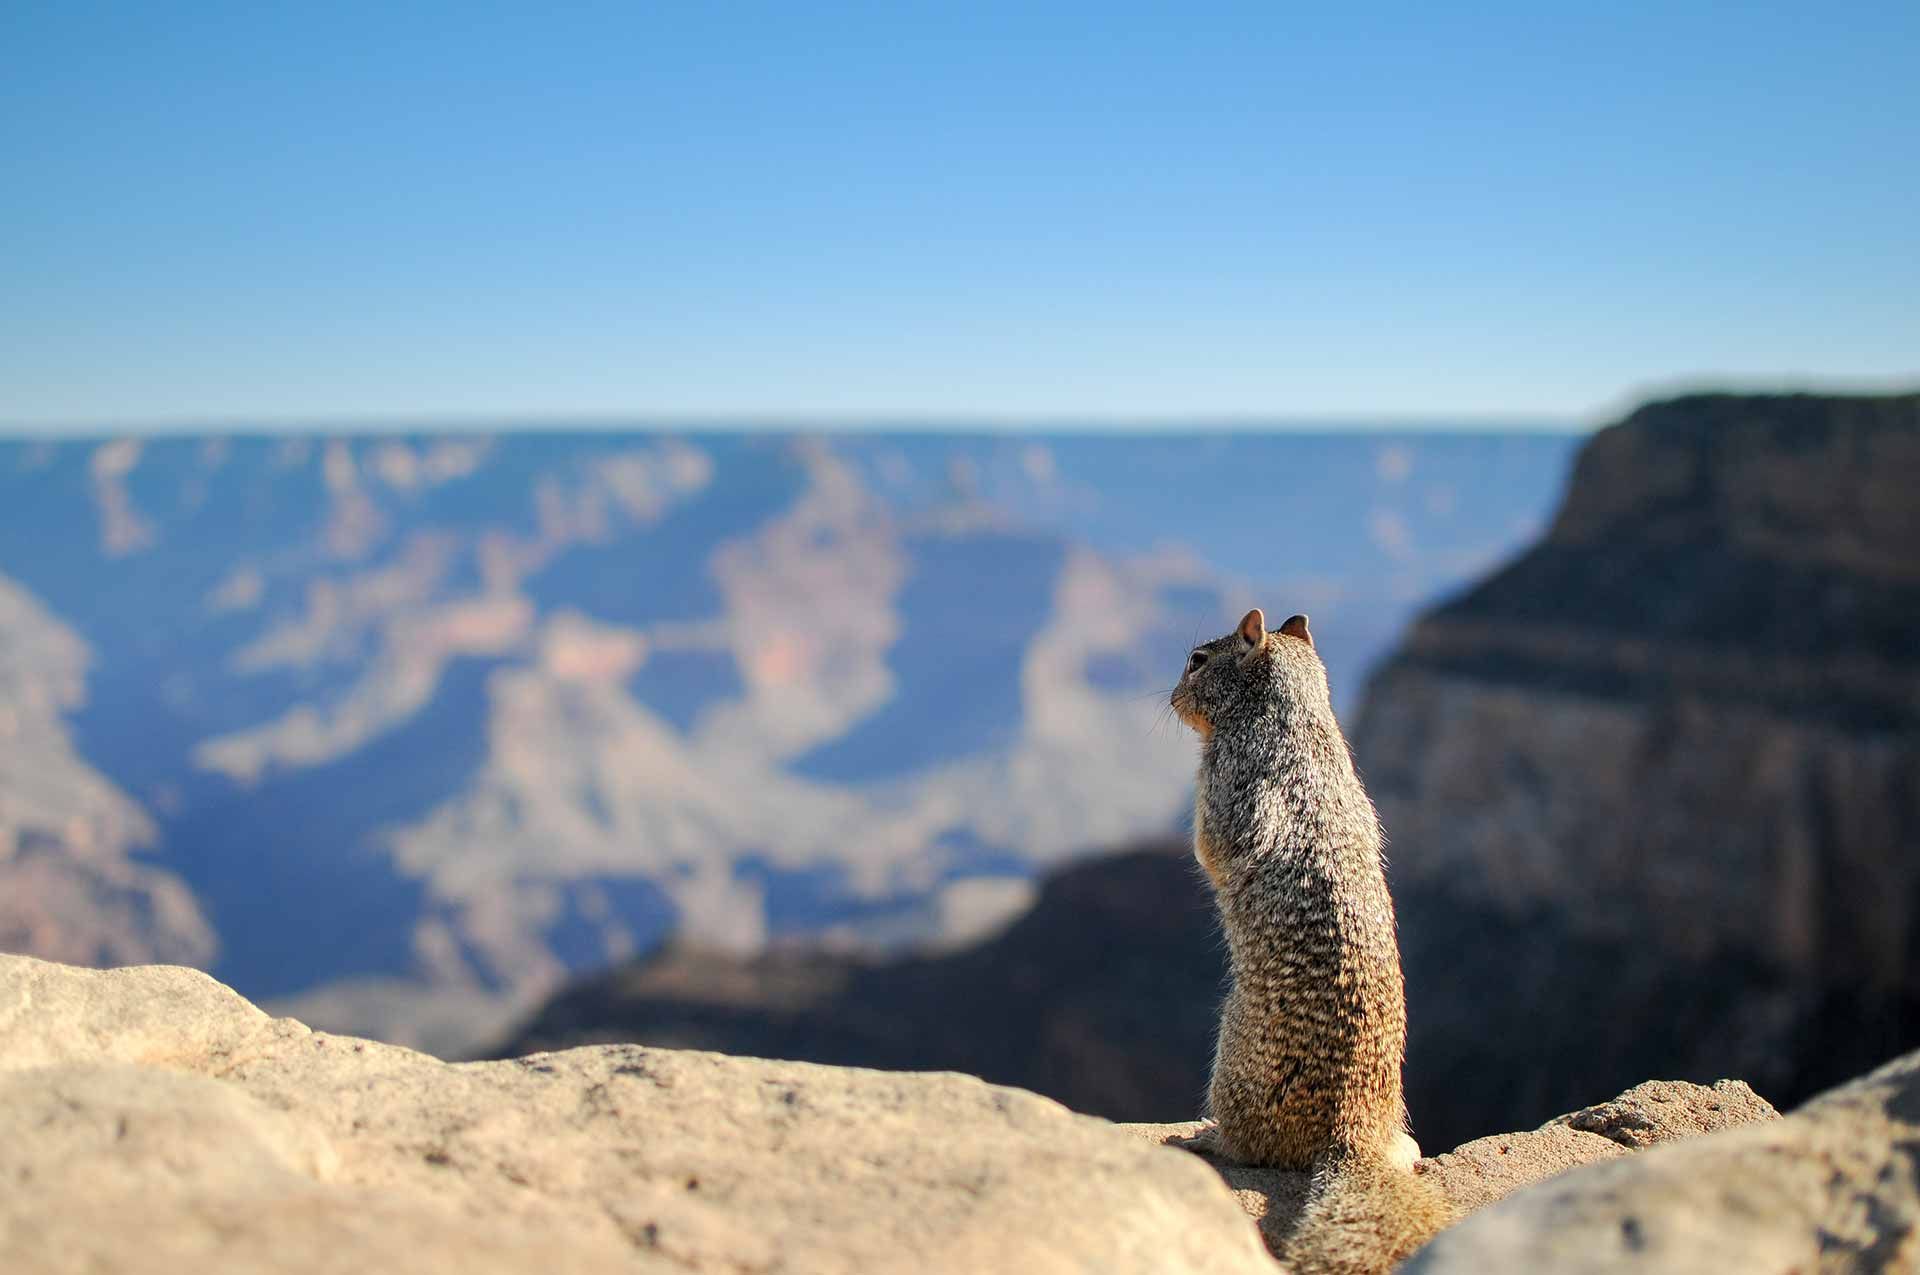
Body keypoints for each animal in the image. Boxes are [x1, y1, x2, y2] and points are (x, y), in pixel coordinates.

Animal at [1171, 608, 1453, 1274]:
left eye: (1197, 660)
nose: (1169, 697)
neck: (1296, 720)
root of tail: (1351, 1136)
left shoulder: (1222, 781)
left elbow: (1209, 846)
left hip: (1232, 1072)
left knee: (1248, 1147)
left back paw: (1203, 1137)